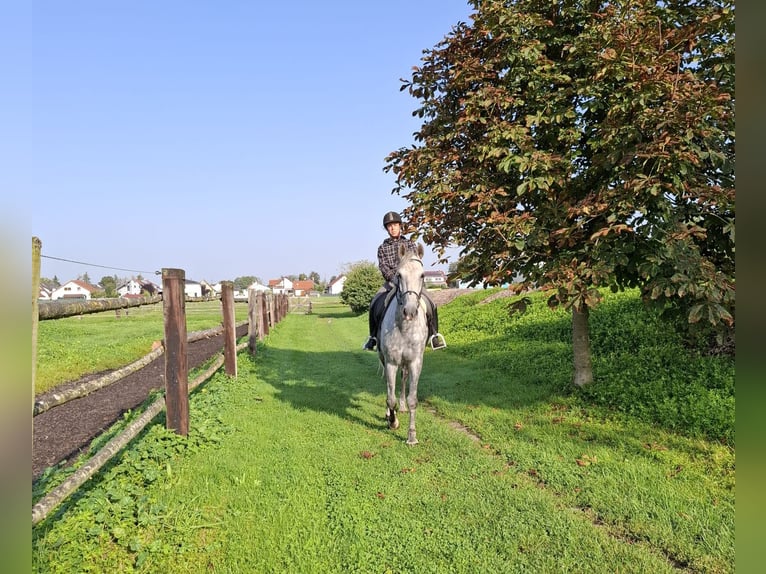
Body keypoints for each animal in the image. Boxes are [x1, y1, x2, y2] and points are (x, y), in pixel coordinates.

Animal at [380, 243, 432, 446]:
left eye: (422, 275)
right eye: (399, 275)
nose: (409, 311)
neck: (404, 327)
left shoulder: (415, 362)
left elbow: (412, 400)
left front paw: (412, 436)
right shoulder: (391, 362)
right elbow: (390, 397)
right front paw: (392, 421)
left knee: (402, 380)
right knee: (389, 387)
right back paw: (389, 414)